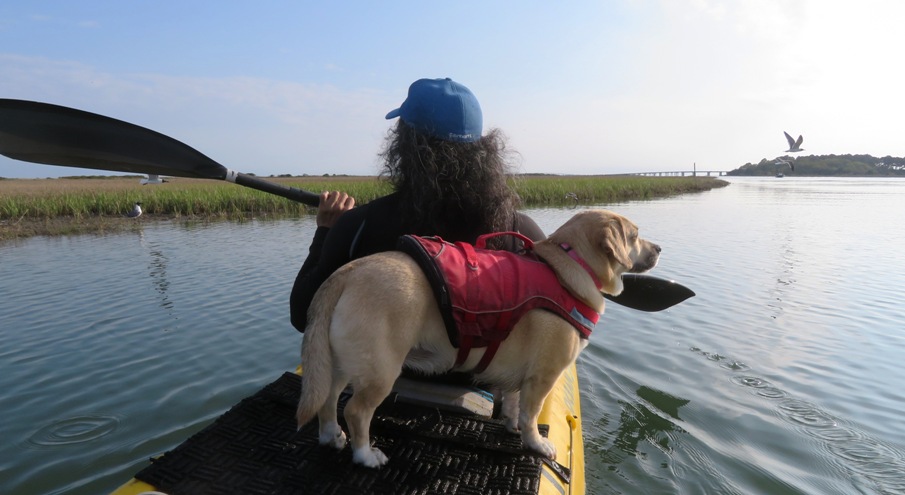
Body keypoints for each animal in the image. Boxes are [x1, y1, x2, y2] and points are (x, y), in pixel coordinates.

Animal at [296, 210, 656, 468]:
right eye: (635, 236)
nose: (659, 249)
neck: (571, 265)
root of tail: (346, 274)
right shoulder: (543, 377)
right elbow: (531, 414)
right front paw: (536, 444)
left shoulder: (518, 379)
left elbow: (513, 405)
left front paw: (511, 426)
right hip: (381, 372)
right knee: (356, 411)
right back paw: (366, 456)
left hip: (341, 364)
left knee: (327, 399)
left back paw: (331, 436)